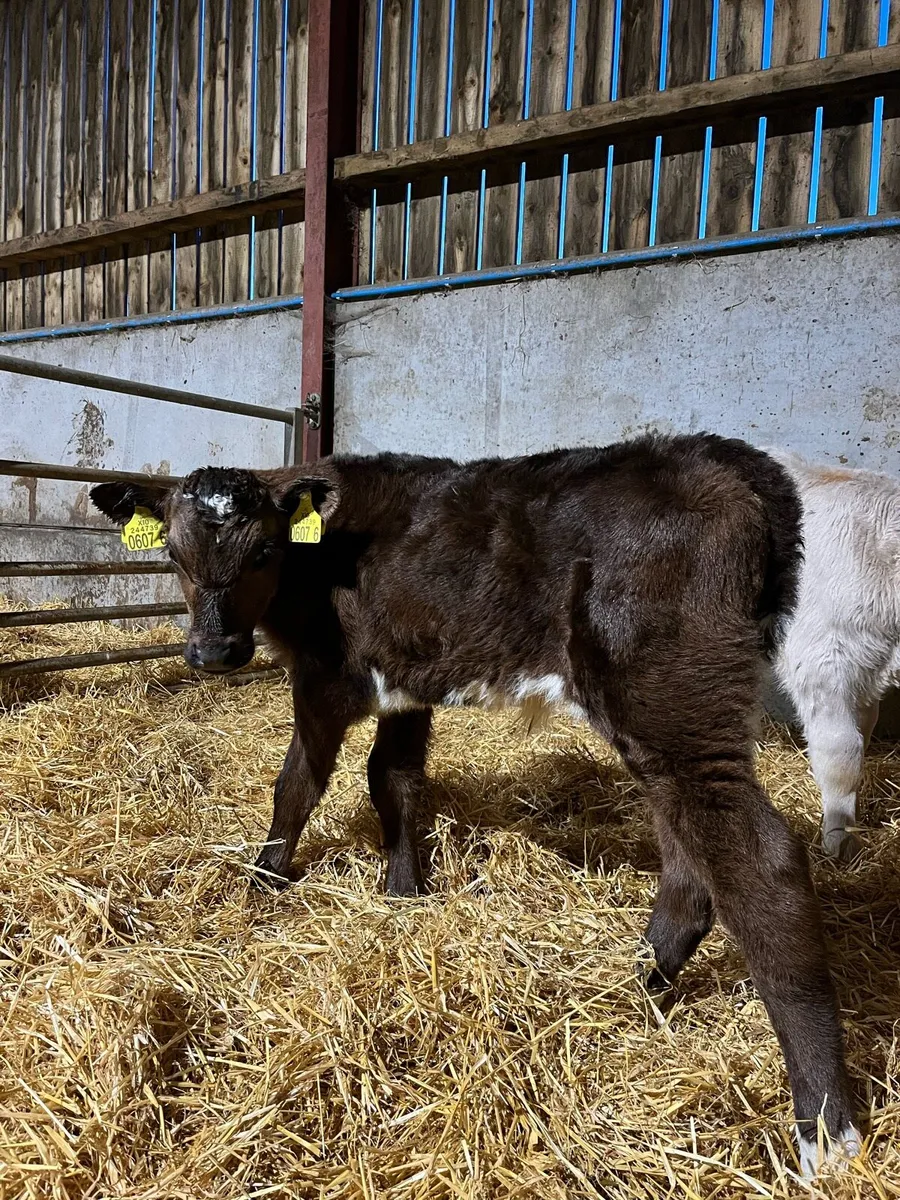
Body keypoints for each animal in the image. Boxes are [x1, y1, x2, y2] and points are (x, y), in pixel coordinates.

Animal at [91, 433, 860, 1177]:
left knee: (760, 864)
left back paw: (825, 1125)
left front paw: (265, 878)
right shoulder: (403, 678)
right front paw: (403, 890)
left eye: (264, 551)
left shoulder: (323, 675)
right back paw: (638, 988)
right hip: (662, 723)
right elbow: (393, 778)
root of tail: (729, 457)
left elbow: (300, 781)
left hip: (674, 697)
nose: (213, 653)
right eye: (172, 553)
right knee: (689, 857)